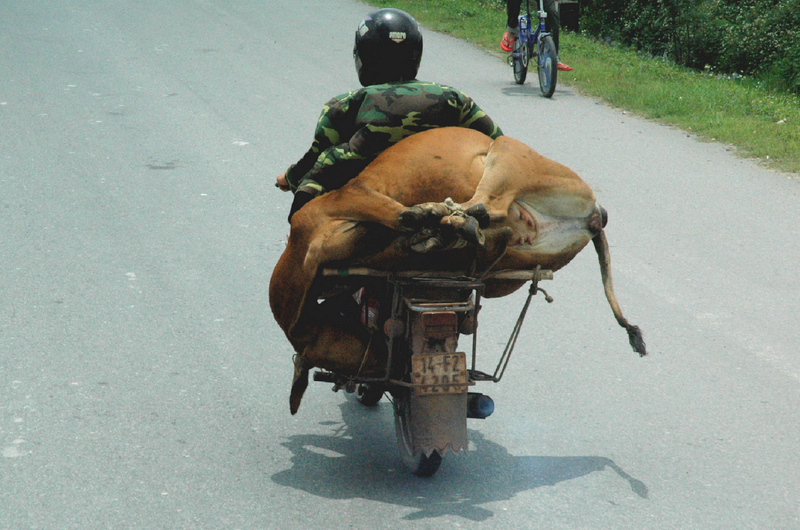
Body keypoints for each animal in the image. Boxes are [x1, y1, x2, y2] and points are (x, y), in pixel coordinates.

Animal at [268, 125, 644, 412]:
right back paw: (448, 226)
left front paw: (420, 217)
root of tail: (595, 216)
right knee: (488, 221)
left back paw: (444, 216)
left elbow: (388, 215)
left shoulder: (348, 200)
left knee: (484, 206)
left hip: (506, 153)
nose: (396, 369)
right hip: (509, 254)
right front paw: (426, 230)